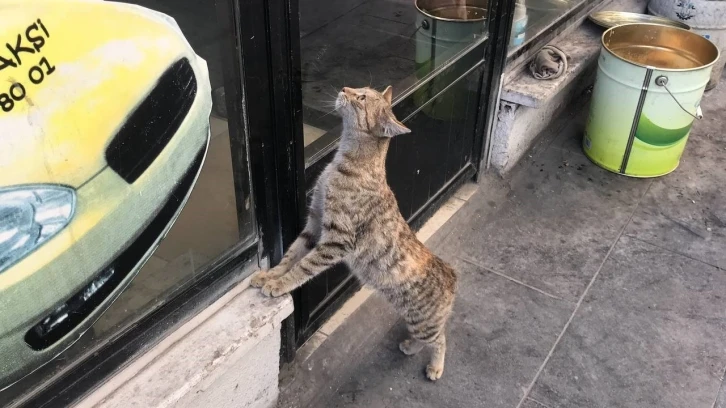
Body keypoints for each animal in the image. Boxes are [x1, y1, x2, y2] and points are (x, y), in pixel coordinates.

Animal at [250, 84, 456, 380]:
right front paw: (271, 274)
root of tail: (451, 275)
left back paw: (435, 366)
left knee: (440, 339)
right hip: (412, 317)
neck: (342, 163)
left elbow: (303, 267)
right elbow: (290, 256)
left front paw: (279, 284)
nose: (345, 88)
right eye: (361, 89)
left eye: (361, 98)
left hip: (423, 322)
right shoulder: (314, 223)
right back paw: (411, 346)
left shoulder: (336, 240)